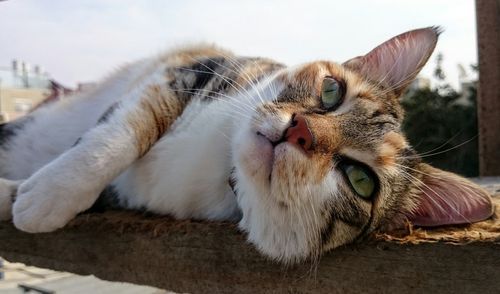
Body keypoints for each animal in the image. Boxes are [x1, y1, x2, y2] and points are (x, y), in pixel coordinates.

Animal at [0, 26, 492, 262]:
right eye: (332, 91)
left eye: (361, 180)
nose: (299, 130)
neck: (223, 162)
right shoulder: (189, 70)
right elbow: (122, 134)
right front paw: (48, 196)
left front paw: (24, 196)